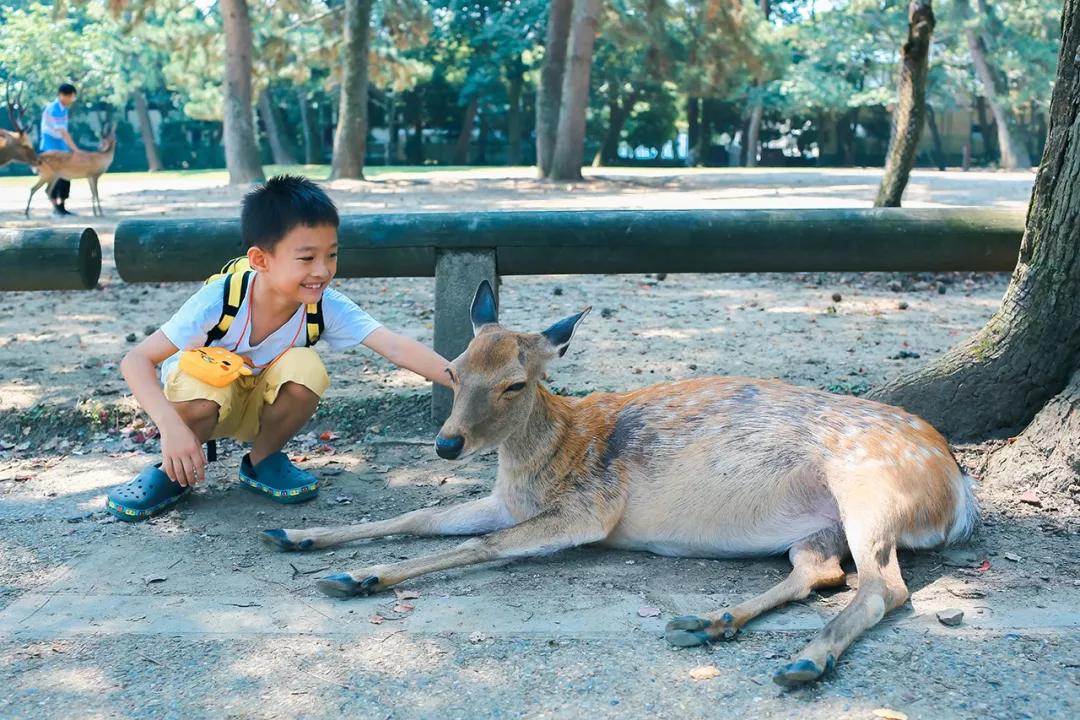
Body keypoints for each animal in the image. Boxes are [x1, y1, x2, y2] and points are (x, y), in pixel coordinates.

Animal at [261, 280, 980, 686]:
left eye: (514, 383)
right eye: (453, 366)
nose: (446, 443)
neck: (542, 459)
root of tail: (958, 488)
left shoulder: (591, 509)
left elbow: (480, 545)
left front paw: (359, 576)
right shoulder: (505, 500)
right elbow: (419, 519)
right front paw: (298, 536)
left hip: (871, 494)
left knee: (885, 587)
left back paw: (804, 661)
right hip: (821, 525)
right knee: (823, 573)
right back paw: (709, 622)